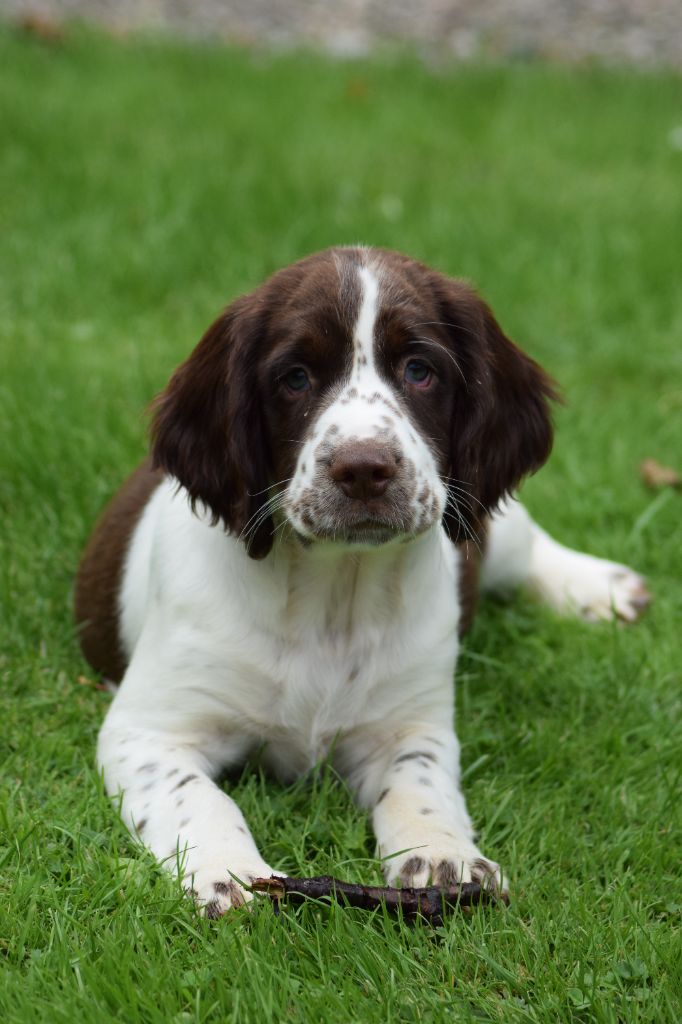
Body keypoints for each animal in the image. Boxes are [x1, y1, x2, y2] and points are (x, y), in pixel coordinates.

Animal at [73, 245, 647, 913]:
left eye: (420, 369)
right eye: (295, 377)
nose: (365, 469)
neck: (334, 594)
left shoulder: (412, 725)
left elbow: (419, 788)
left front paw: (446, 860)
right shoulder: (148, 732)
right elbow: (200, 800)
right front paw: (227, 873)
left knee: (524, 544)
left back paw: (601, 588)